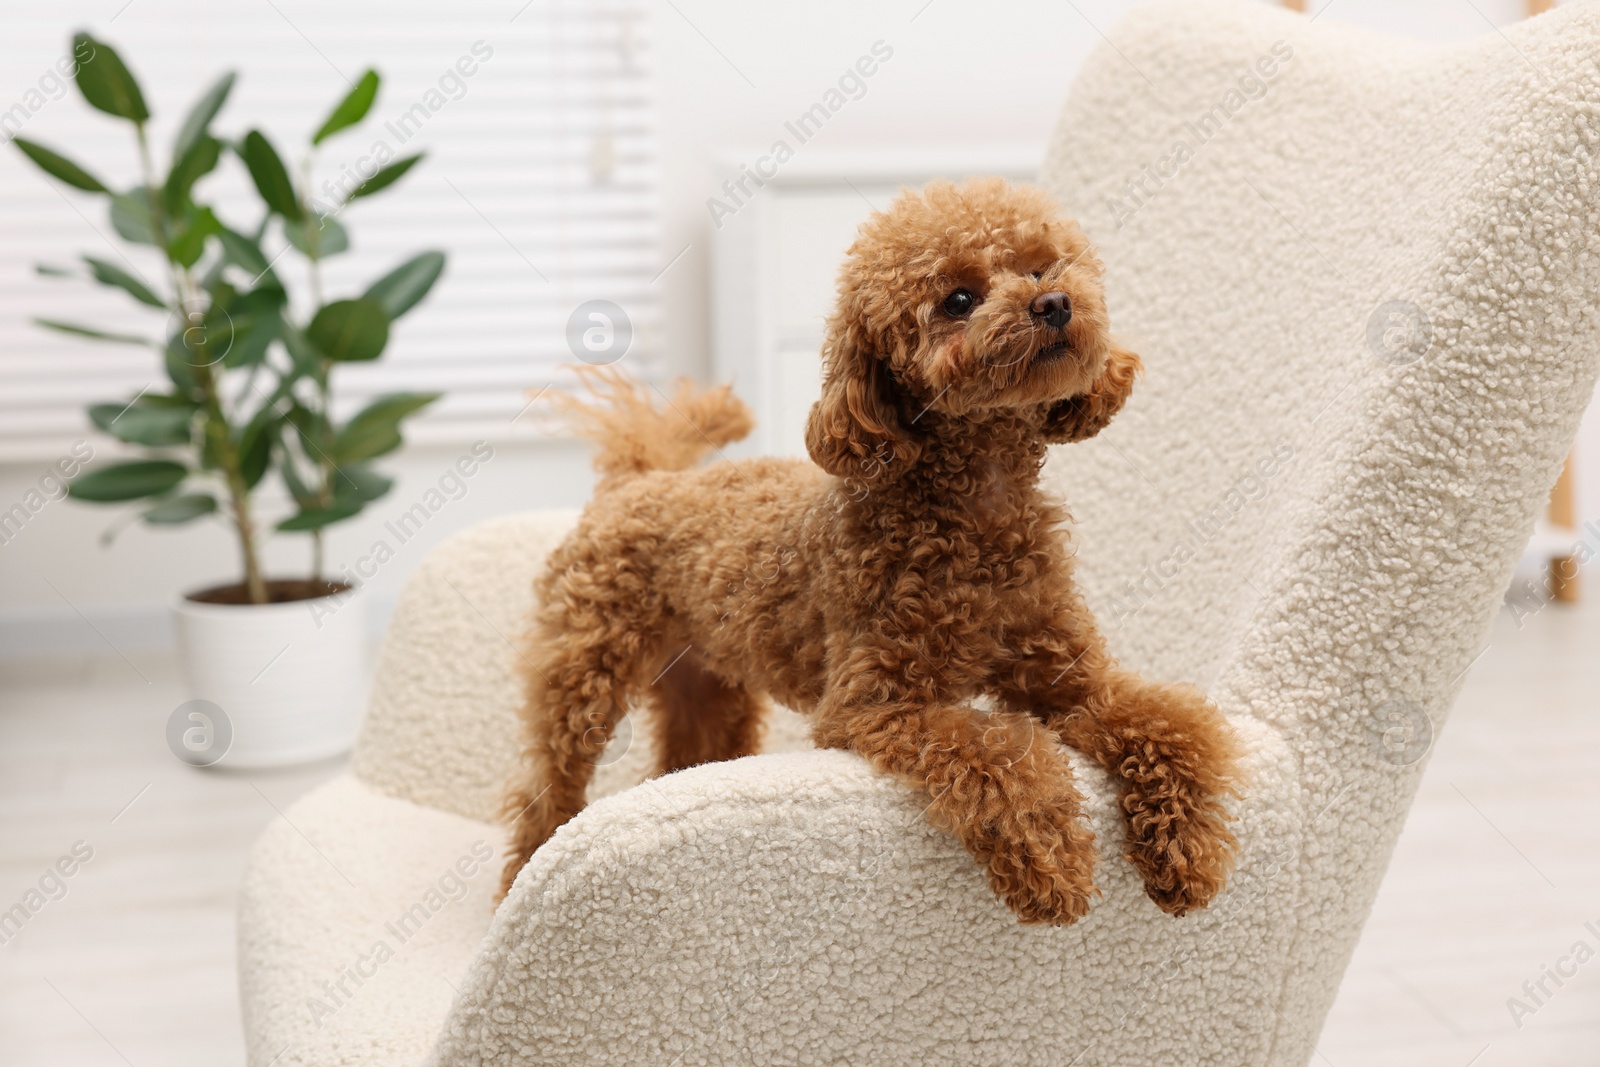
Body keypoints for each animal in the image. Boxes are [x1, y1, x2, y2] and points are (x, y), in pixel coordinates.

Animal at [499, 179, 1235, 921]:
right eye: (957, 299)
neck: (979, 516)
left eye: (1040, 266)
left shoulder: (1072, 676)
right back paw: (514, 882)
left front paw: (1185, 846)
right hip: (583, 670)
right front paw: (1052, 858)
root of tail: (637, 478)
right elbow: (997, 744)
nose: (1054, 303)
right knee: (544, 788)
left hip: (709, 684)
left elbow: (1166, 720)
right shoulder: (871, 704)